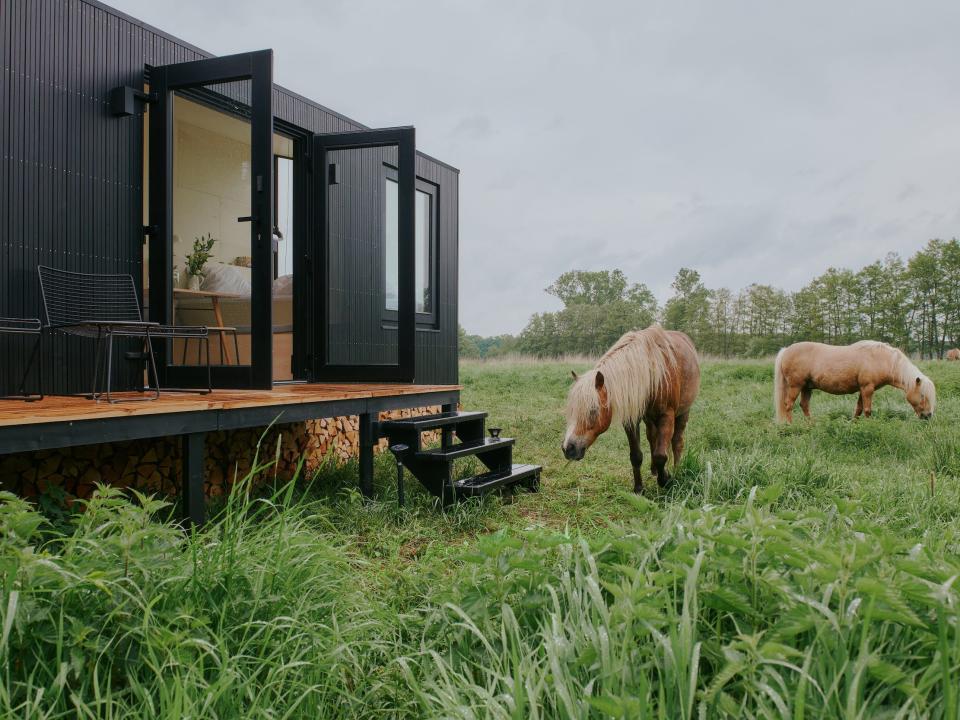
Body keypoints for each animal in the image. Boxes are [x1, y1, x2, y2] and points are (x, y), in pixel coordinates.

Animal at [560, 324, 700, 490]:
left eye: (593, 410)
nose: (568, 448)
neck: (652, 373)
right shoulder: (631, 418)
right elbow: (636, 455)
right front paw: (639, 489)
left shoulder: (667, 415)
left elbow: (661, 455)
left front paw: (666, 480)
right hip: (649, 418)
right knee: (652, 437)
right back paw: (654, 470)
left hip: (683, 412)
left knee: (677, 442)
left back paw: (676, 470)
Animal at [772, 338, 936, 422]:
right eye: (922, 395)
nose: (928, 416)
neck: (882, 359)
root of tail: (786, 350)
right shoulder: (867, 388)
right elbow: (867, 410)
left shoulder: (863, 389)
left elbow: (859, 409)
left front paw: (854, 424)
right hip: (796, 386)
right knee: (788, 405)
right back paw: (790, 425)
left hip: (807, 387)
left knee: (804, 405)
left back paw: (810, 425)